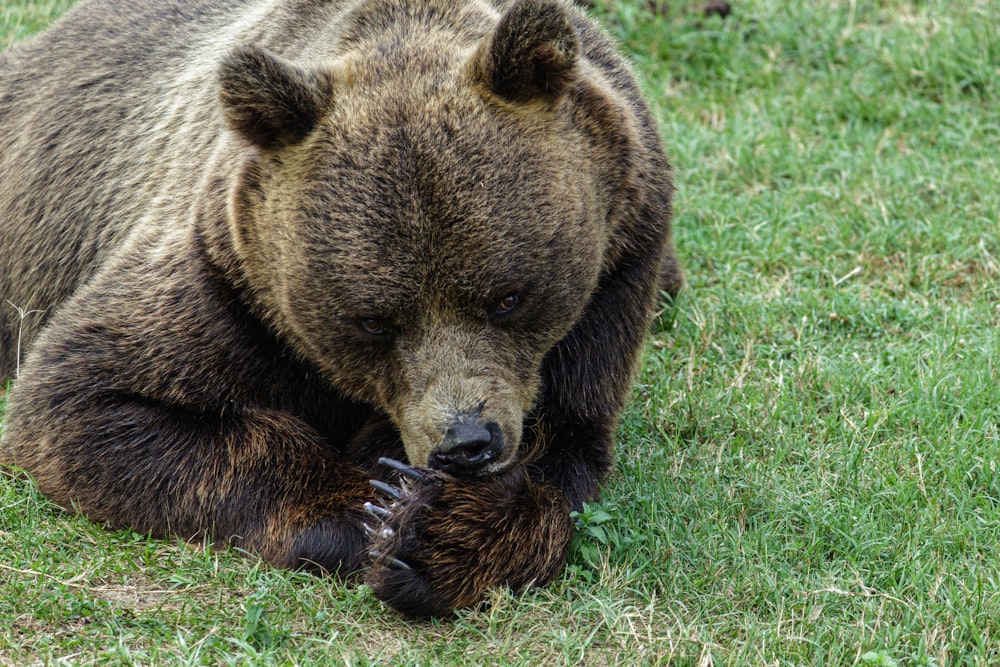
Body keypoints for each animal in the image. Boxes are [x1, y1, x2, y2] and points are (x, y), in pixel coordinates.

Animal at [0, 0, 680, 620]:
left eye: (508, 297)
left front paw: (438, 533)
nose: (466, 443)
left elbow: (566, 446)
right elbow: (87, 401)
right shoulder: (227, 283)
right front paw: (377, 512)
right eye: (374, 320)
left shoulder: (617, 270)